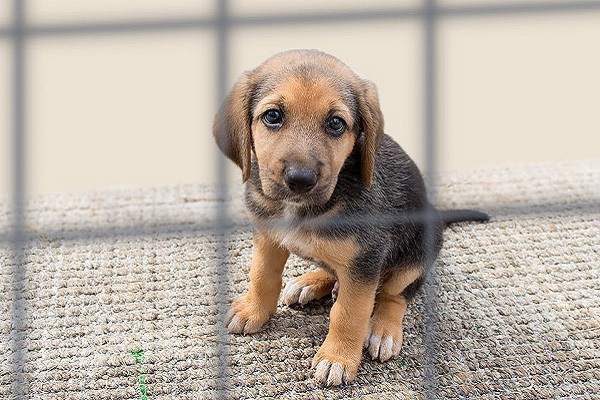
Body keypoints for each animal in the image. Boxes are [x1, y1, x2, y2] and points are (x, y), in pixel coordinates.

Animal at [214, 48, 488, 386]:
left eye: (336, 123)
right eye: (273, 116)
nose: (300, 180)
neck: (304, 209)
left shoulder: (365, 261)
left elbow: (349, 313)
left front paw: (338, 357)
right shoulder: (267, 238)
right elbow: (263, 276)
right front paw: (254, 310)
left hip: (417, 253)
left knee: (395, 295)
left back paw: (383, 330)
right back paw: (311, 282)